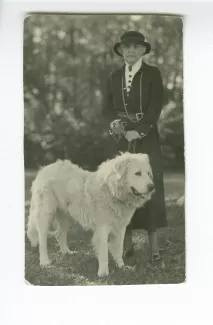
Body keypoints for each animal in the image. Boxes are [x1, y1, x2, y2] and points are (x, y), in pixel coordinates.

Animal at [26, 152, 154, 276]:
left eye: (148, 174)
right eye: (137, 173)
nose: (152, 187)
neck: (111, 191)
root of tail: (44, 169)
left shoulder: (120, 228)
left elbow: (118, 248)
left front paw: (122, 267)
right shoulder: (102, 229)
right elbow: (104, 252)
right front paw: (103, 272)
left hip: (67, 216)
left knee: (59, 234)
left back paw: (67, 252)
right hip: (46, 214)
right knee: (42, 238)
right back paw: (44, 262)